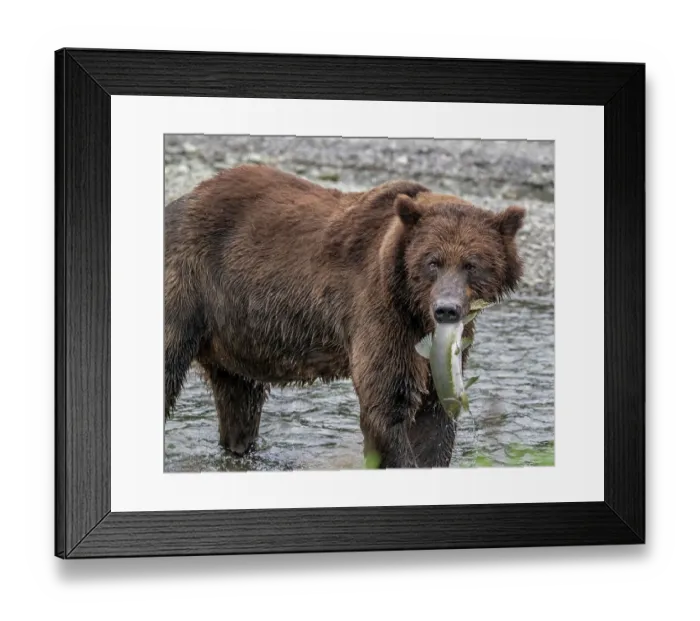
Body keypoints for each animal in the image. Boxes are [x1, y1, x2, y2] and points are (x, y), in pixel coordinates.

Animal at [164, 164, 525, 469]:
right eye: (432, 261)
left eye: (472, 264)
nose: (446, 309)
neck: (413, 308)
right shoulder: (380, 312)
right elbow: (387, 406)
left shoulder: (446, 348)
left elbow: (433, 417)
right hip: (189, 283)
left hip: (235, 331)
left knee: (240, 399)